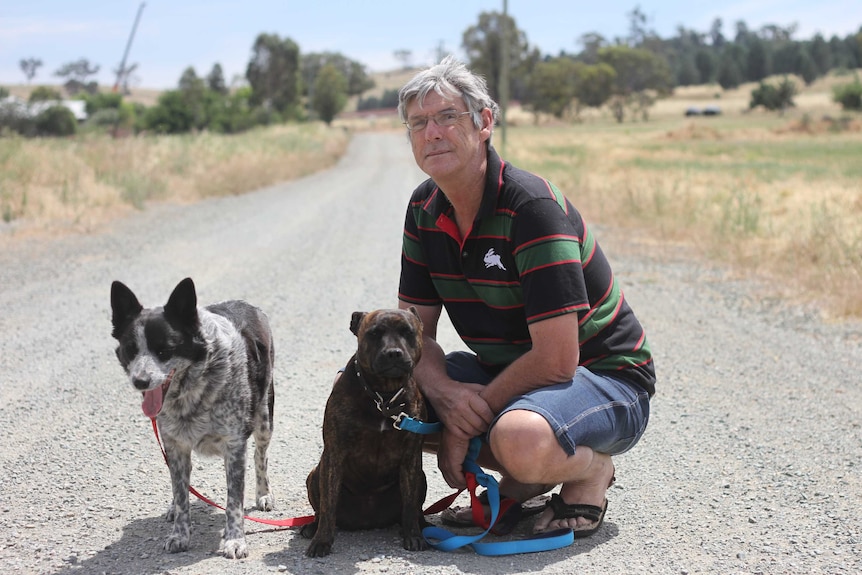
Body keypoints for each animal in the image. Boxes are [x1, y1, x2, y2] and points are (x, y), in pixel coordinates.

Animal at [109, 278, 276, 560]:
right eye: (131, 350)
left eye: (165, 350)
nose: (140, 381)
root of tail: (245, 303)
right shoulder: (174, 445)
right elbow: (180, 493)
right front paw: (179, 534)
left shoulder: (234, 446)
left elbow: (234, 501)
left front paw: (235, 540)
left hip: (264, 418)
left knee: (260, 456)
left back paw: (264, 494)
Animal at [302, 310, 430, 560]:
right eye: (374, 333)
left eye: (407, 332)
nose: (393, 353)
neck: (384, 396)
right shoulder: (334, 455)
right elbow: (328, 506)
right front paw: (322, 541)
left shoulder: (411, 458)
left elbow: (410, 505)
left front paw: (413, 535)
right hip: (314, 475)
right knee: (321, 511)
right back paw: (312, 527)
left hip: (421, 477)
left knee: (414, 508)